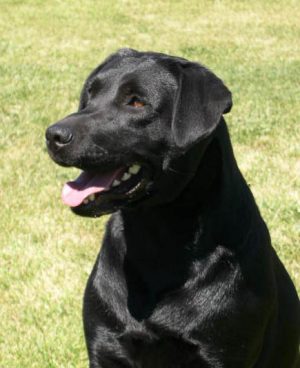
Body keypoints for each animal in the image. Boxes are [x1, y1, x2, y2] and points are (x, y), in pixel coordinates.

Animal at [45, 49, 300, 368]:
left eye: (136, 102)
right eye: (90, 94)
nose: (53, 135)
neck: (158, 240)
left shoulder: (219, 354)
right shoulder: (106, 346)